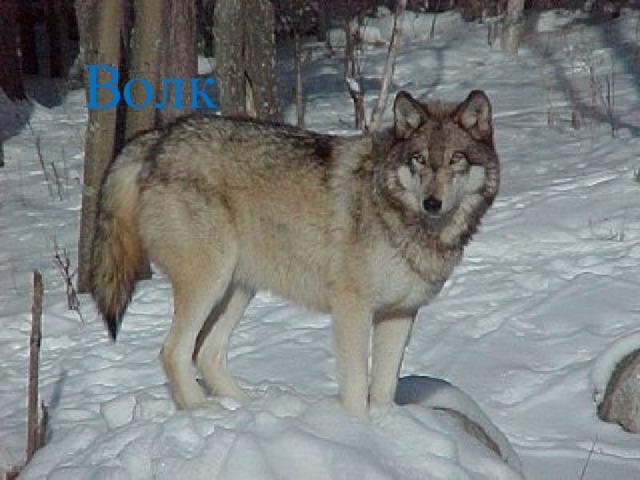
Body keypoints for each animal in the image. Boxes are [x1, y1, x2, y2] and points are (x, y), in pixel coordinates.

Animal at [90, 90, 500, 419]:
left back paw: (247, 409)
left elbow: (384, 389)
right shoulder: (352, 308)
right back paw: (203, 412)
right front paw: (358, 430)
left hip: (238, 288)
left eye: (456, 159)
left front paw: (385, 427)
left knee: (205, 352)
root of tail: (160, 136)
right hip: (210, 281)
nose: (432, 203)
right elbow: (356, 386)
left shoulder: (400, 313)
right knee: (173, 351)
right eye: (420, 160)